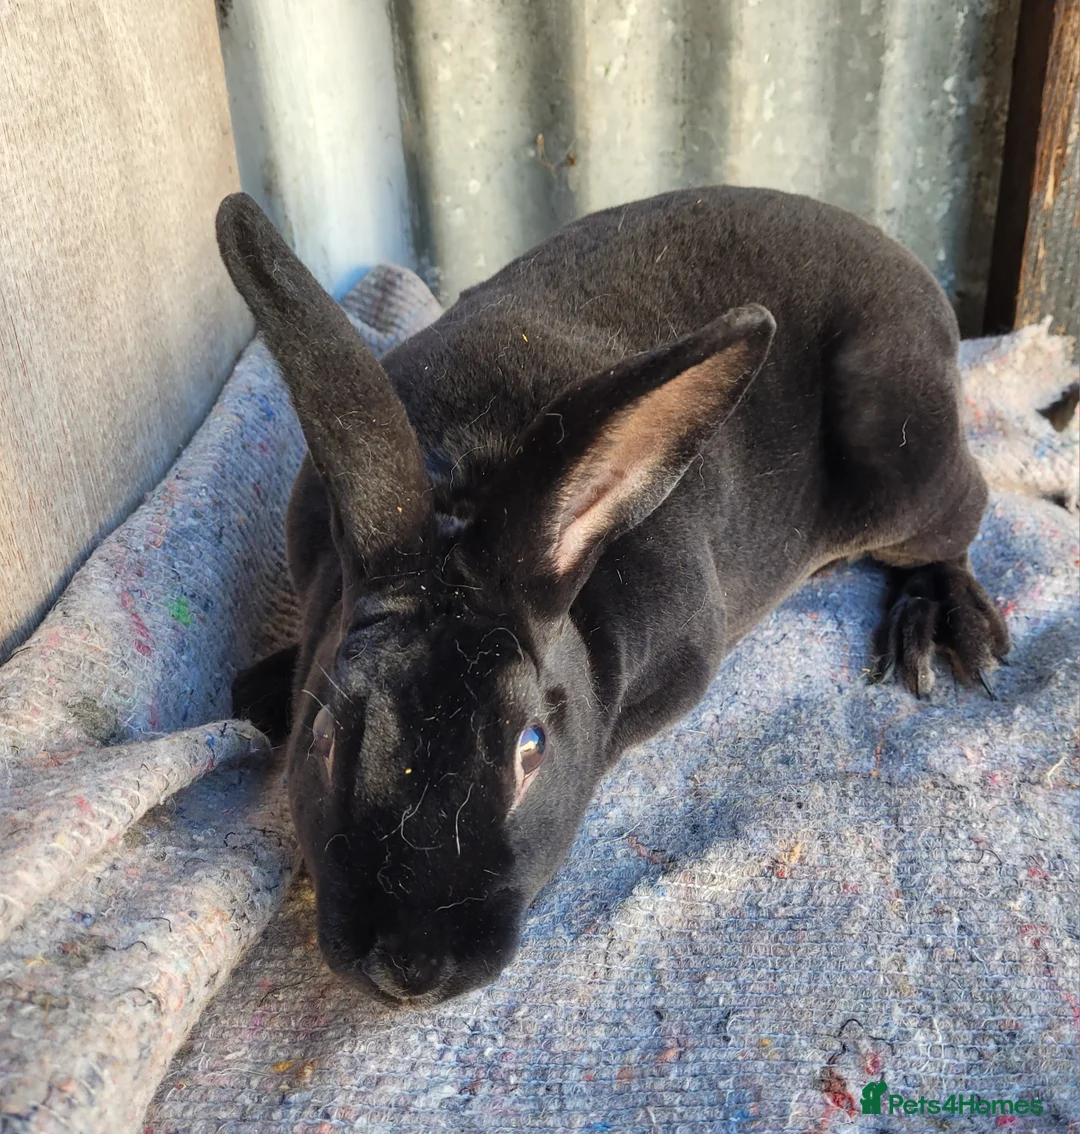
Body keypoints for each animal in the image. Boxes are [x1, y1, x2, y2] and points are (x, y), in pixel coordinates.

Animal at [217, 186, 1009, 1006]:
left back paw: (943, 631)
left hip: (904, 467)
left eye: (531, 748)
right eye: (322, 735)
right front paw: (260, 687)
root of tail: (914, 276)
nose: (409, 970)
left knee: (962, 520)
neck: (461, 495)